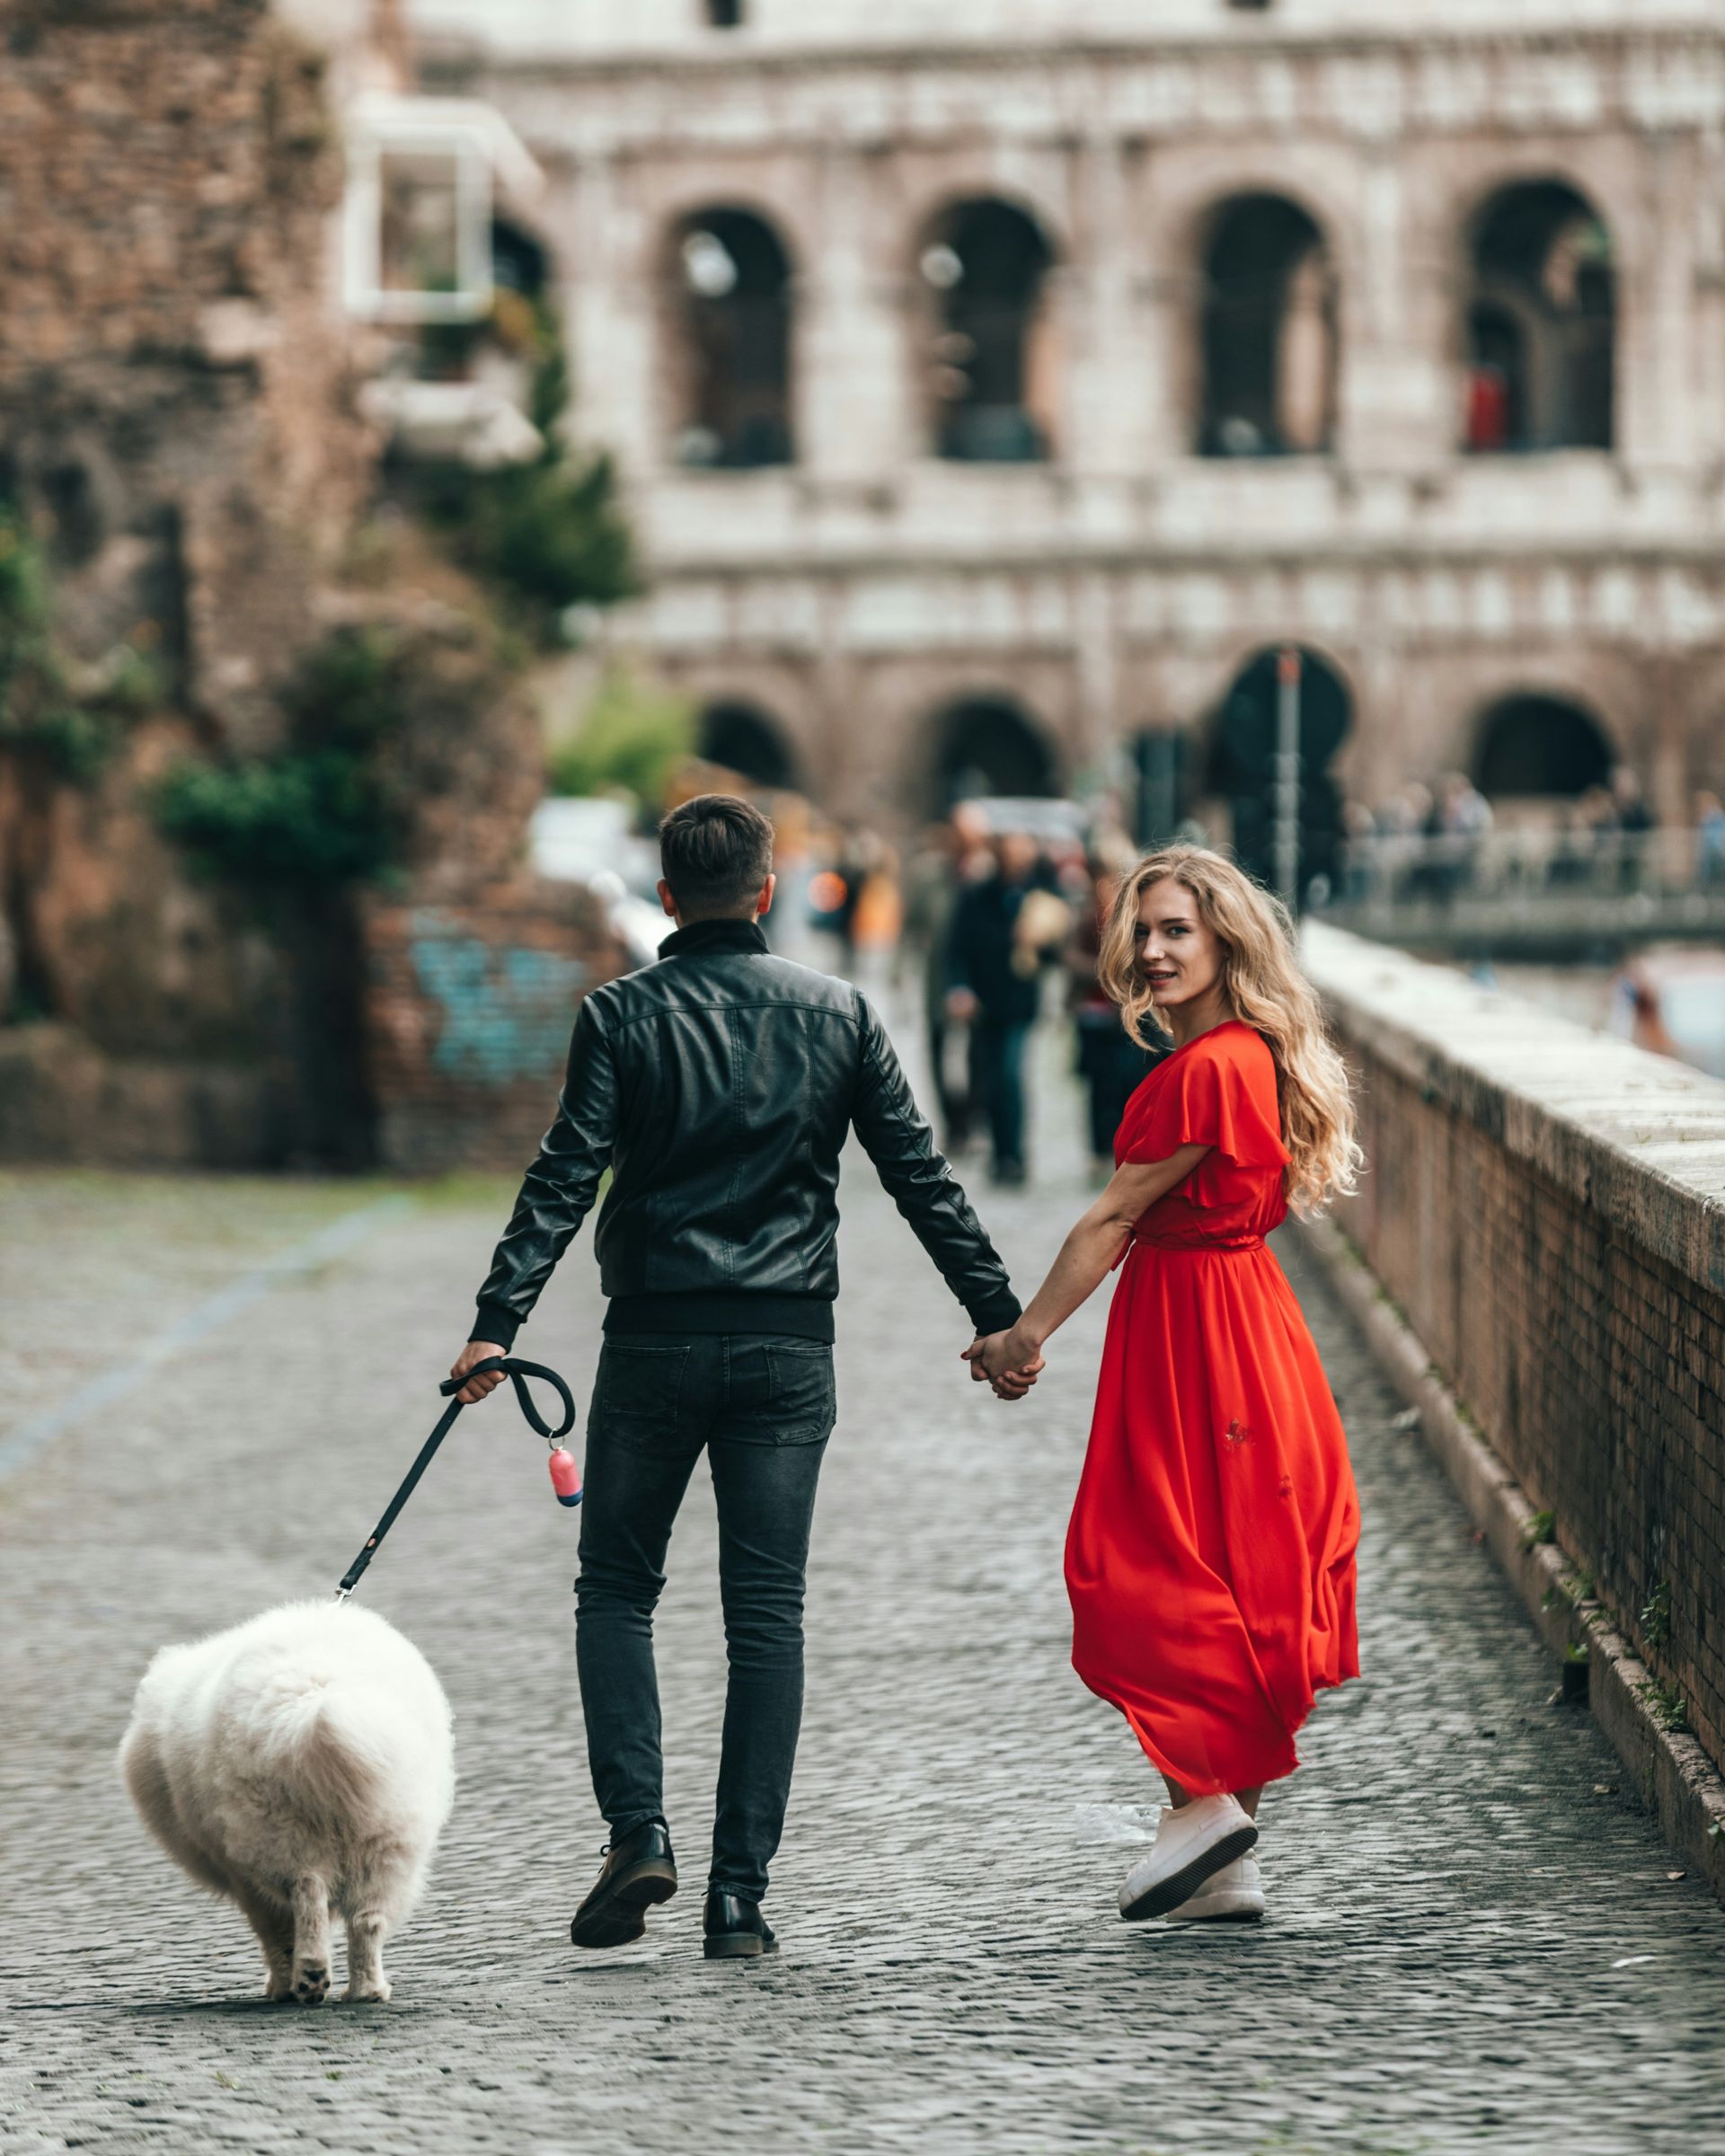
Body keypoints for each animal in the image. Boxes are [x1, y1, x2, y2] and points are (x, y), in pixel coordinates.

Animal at [122, 1604, 456, 2001]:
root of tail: (314, 1697)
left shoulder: (244, 1877)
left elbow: (276, 1932)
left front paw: (281, 1985)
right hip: (388, 1843)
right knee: (367, 1922)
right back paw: (365, 1991)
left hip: (275, 1833)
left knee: (307, 1895)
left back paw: (308, 1977)